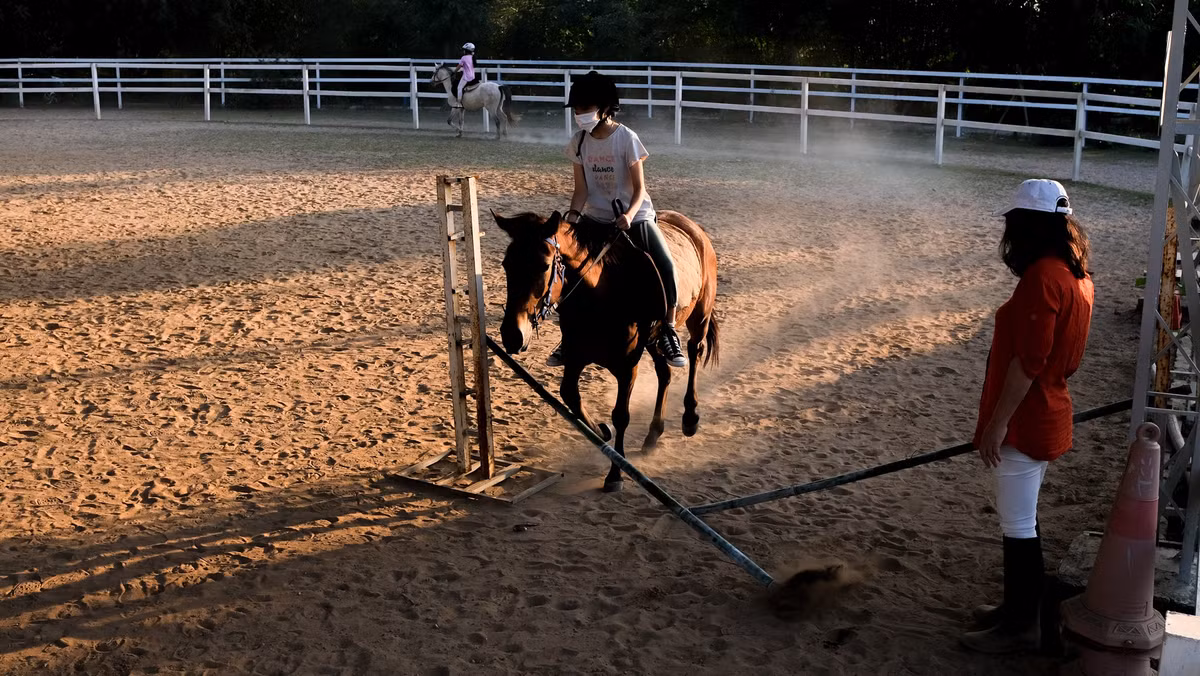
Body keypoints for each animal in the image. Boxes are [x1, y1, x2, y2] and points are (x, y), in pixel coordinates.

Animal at [492, 209, 720, 492]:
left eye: (544, 266)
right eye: (506, 264)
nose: (512, 335)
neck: (600, 294)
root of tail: (693, 228)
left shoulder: (627, 367)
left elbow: (621, 415)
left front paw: (615, 474)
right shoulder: (576, 356)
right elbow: (571, 398)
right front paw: (601, 431)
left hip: (699, 316)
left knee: (694, 351)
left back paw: (690, 418)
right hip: (653, 340)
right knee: (664, 373)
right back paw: (653, 434)